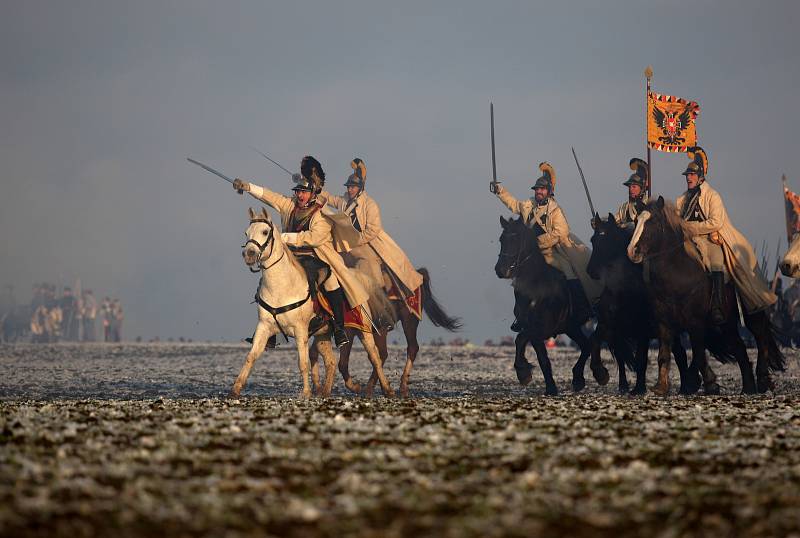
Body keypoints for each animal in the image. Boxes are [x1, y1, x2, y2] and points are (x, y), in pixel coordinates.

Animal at [230, 206, 396, 398]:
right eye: (246, 232)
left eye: (265, 232)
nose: (248, 254)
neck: (282, 287)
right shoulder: (264, 327)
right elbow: (251, 357)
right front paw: (235, 389)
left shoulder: (300, 330)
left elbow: (303, 362)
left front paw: (306, 393)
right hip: (322, 335)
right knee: (331, 362)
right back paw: (325, 392)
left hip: (363, 331)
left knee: (374, 357)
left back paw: (387, 389)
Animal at [494, 216, 608, 396]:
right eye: (502, 239)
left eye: (517, 239)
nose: (501, 270)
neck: (536, 287)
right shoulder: (534, 330)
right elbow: (540, 357)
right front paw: (547, 386)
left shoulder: (543, 329)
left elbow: (521, 339)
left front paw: (524, 372)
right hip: (571, 327)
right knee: (586, 344)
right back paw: (579, 379)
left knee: (594, 340)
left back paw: (599, 372)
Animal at [628, 197, 784, 394]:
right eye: (636, 221)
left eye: (653, 221)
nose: (632, 251)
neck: (677, 274)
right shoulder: (664, 323)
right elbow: (665, 354)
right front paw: (661, 386)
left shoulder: (695, 323)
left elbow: (698, 354)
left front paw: (705, 383)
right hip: (727, 324)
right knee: (740, 348)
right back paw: (748, 387)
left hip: (751, 311)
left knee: (761, 336)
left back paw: (762, 379)